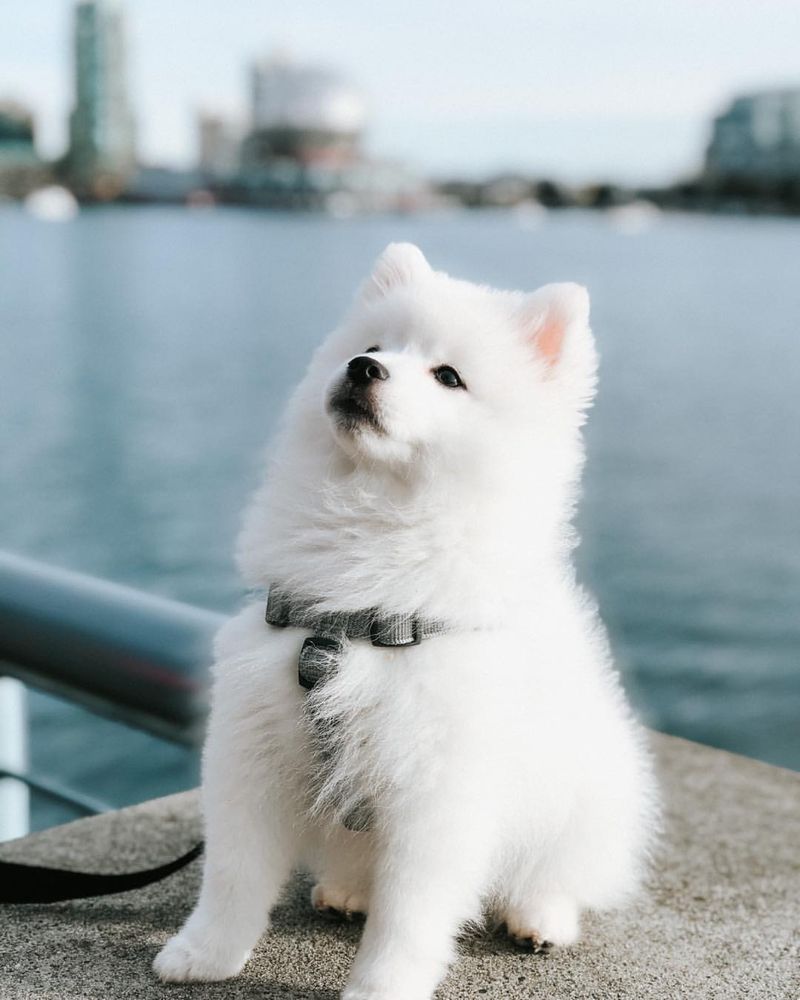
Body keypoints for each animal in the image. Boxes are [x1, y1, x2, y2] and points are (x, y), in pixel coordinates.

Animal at [155, 242, 656, 1000]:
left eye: (449, 376)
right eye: (372, 345)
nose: (364, 368)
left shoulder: (439, 786)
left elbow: (410, 916)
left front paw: (379, 988)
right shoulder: (251, 746)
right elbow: (233, 874)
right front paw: (204, 955)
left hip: (588, 796)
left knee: (555, 873)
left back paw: (538, 916)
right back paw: (347, 890)